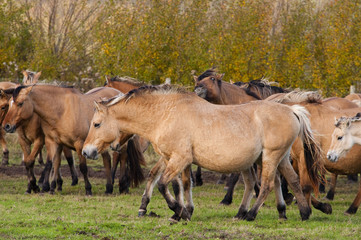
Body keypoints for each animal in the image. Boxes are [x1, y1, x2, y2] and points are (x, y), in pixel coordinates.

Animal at [2, 84, 143, 195]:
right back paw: (108, 188)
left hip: (119, 143)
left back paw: (123, 187)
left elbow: (83, 167)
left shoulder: (79, 143)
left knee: (122, 158)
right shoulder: (52, 142)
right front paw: (49, 188)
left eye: (20, 103)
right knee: (107, 160)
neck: (61, 110)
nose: (6, 126)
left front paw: (88, 189)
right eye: (9, 104)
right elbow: (51, 164)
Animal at [81, 85, 320, 222]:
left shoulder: (180, 159)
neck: (166, 114)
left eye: (96, 124)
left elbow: (163, 185)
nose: (86, 151)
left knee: (268, 185)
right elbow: (179, 184)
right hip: (279, 158)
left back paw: (251, 215)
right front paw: (181, 211)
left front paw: (179, 211)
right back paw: (303, 213)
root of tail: (292, 109)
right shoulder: (174, 159)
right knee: (292, 181)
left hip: (270, 157)